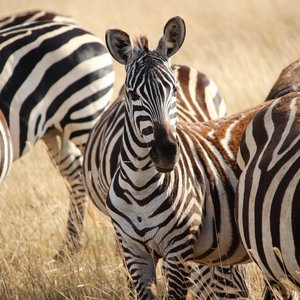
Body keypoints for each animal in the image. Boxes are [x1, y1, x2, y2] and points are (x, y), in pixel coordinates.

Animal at [91, 16, 264, 300]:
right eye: (132, 94)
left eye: (173, 90)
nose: (166, 153)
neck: (140, 184)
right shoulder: (133, 251)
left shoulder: (178, 251)